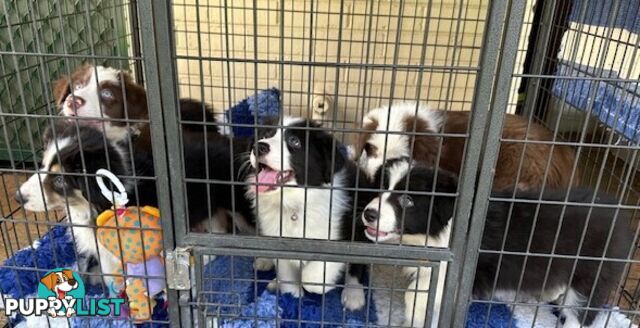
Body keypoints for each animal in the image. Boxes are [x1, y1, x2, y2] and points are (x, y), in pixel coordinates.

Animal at [245, 117, 376, 298]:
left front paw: (324, 285)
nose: (259, 147)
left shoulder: (341, 236)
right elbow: (287, 276)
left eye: (294, 141)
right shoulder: (279, 240)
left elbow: (313, 277)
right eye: (265, 135)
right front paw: (293, 295)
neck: (294, 202)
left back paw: (353, 295)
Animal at [356, 158, 636, 326]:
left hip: (593, 273)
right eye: (380, 190)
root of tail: (624, 217)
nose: (368, 214)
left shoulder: (451, 271)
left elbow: (416, 296)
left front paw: (414, 318)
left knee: (580, 310)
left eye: (407, 200)